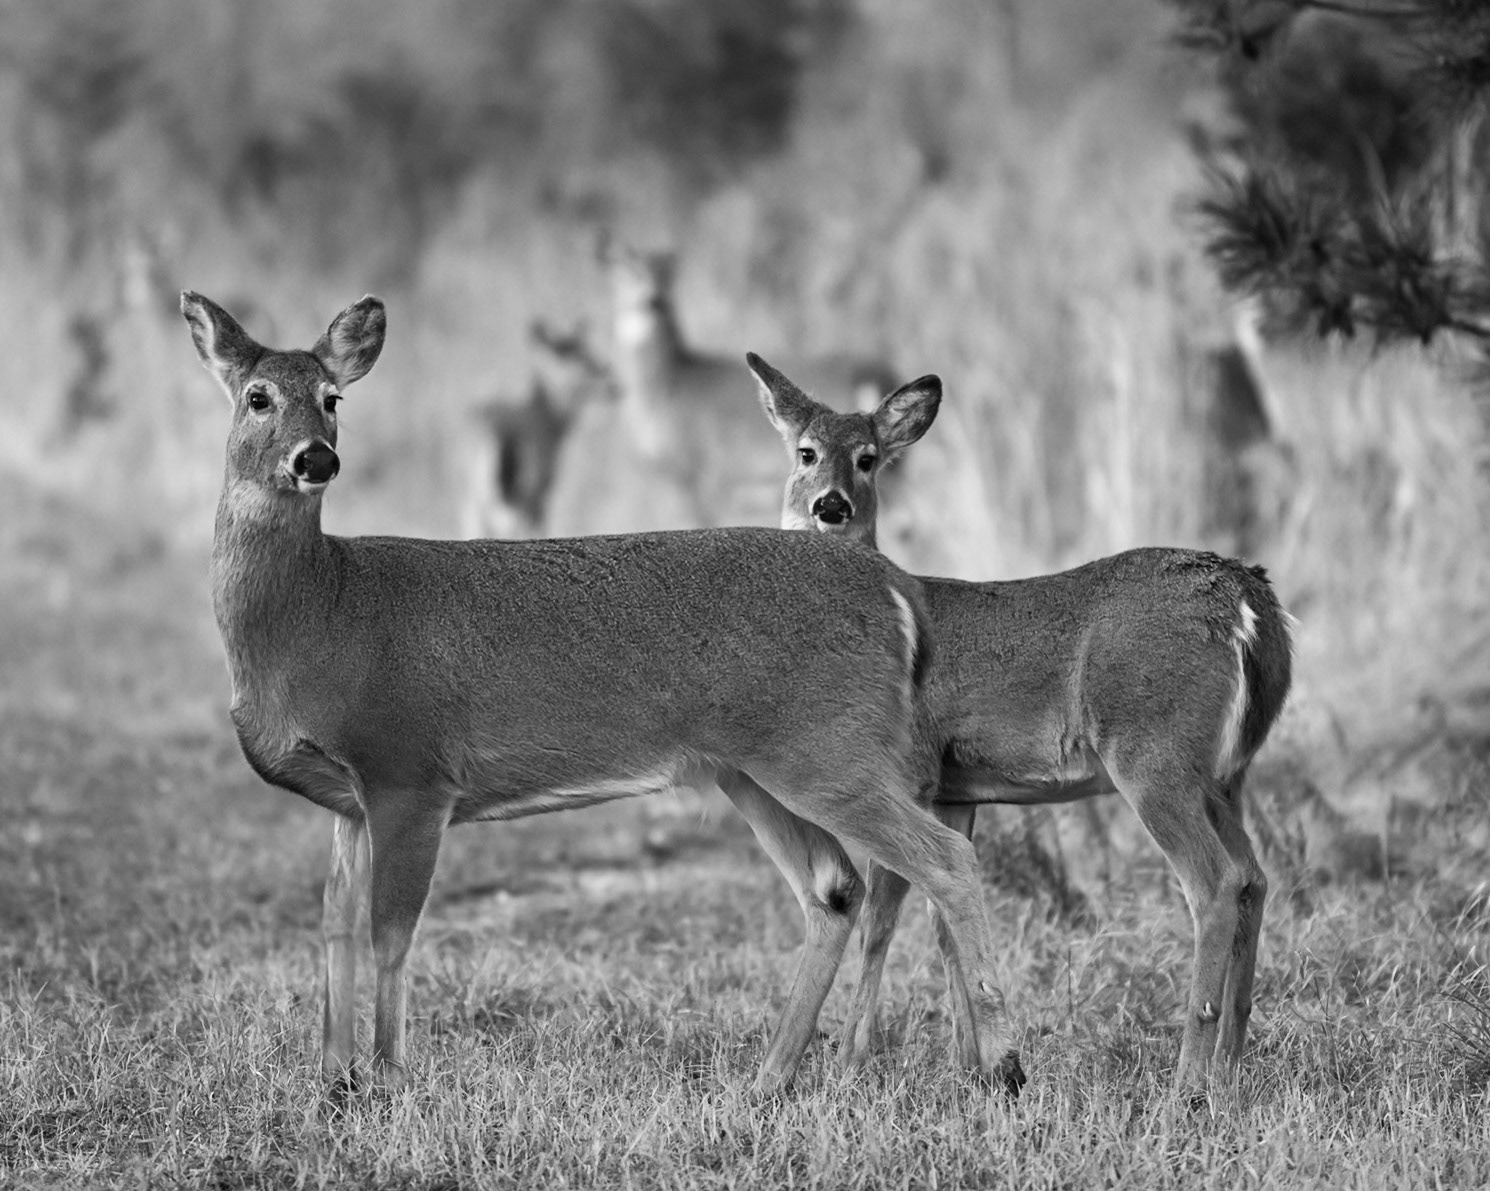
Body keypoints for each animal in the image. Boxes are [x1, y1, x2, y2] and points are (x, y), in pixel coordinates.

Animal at [179, 291, 1028, 1099]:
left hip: (829, 752)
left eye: (332, 397)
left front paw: (386, 1080)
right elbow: (334, 923)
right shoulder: (351, 798)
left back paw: (1005, 1063)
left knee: (945, 858)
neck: (321, 612)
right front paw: (333, 1080)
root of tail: (895, 586)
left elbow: (393, 931)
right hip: (756, 769)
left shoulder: (409, 772)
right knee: (836, 889)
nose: (316, 457)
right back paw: (768, 1081)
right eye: (257, 395)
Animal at [746, 353, 1295, 1093]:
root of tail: (1247, 596)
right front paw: (973, 1066)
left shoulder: (910, 770)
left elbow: (885, 914)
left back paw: (1187, 1081)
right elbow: (941, 917)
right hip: (1226, 774)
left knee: (1216, 885)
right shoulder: (955, 788)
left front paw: (853, 1061)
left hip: (1154, 755)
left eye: (867, 458)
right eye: (805, 451)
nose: (829, 505)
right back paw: (1231, 1068)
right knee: (1255, 877)